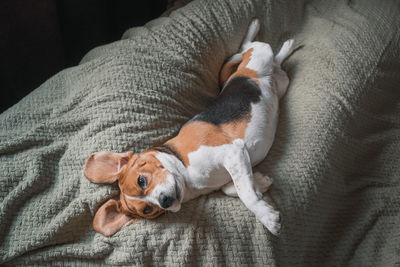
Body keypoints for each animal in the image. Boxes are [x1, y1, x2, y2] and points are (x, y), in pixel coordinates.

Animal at [83, 18, 294, 237]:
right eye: (147, 210)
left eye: (141, 181)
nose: (164, 201)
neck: (186, 176)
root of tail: (241, 72)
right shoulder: (236, 161)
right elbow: (233, 187)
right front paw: (261, 182)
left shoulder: (233, 151)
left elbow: (246, 195)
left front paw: (267, 217)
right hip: (282, 83)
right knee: (276, 62)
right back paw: (286, 49)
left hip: (259, 56)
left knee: (250, 47)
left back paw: (264, 33)